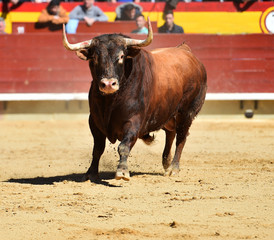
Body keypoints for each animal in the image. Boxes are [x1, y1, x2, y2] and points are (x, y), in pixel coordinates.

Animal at [63, 17, 207, 181]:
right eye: (94, 58)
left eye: (121, 56)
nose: (108, 84)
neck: (110, 101)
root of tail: (186, 52)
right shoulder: (94, 121)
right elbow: (97, 148)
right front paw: (91, 173)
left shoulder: (134, 121)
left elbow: (124, 146)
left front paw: (122, 171)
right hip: (168, 114)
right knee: (170, 133)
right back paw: (166, 162)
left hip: (187, 113)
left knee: (181, 137)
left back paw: (173, 168)